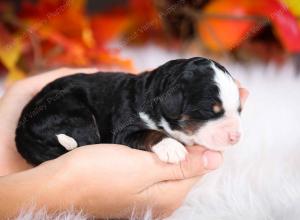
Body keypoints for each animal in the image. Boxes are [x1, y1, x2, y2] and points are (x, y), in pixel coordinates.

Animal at [15, 57, 241, 165]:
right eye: (210, 111)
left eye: (239, 109)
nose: (236, 137)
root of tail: (21, 126)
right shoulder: (125, 129)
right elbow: (149, 133)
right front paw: (171, 147)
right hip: (74, 113)